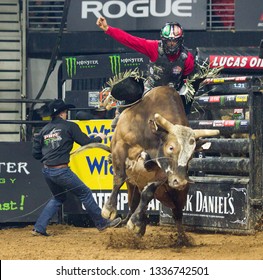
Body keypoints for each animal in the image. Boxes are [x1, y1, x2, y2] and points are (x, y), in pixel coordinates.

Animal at [101, 86, 221, 245]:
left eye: (191, 155)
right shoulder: (119, 145)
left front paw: (135, 222)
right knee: (134, 201)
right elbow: (119, 177)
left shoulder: (164, 173)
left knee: (176, 214)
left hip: (178, 195)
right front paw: (109, 209)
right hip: (134, 185)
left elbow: (148, 192)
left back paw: (180, 239)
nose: (180, 182)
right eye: (171, 147)